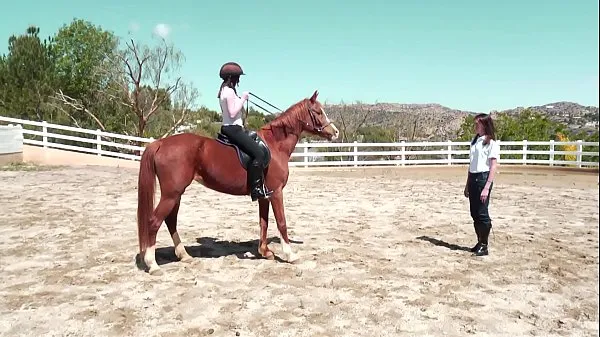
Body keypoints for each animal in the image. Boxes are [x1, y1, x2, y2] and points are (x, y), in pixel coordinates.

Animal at [138, 90, 340, 276]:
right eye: (318, 112)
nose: (335, 132)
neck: (275, 146)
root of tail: (160, 143)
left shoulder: (264, 195)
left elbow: (263, 222)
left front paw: (265, 252)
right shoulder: (276, 192)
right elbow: (281, 222)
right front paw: (291, 255)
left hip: (176, 194)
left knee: (170, 220)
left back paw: (184, 255)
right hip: (171, 194)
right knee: (154, 222)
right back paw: (153, 265)